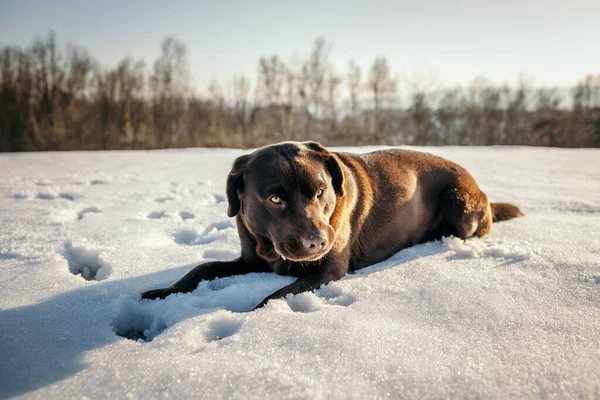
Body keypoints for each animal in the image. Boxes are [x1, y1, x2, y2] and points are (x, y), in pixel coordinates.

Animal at [143, 141, 524, 310]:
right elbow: (200, 268)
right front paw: (159, 293)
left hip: (460, 203)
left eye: (321, 191)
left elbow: (273, 297)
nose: (315, 242)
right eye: (274, 199)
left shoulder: (327, 270)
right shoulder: (250, 259)